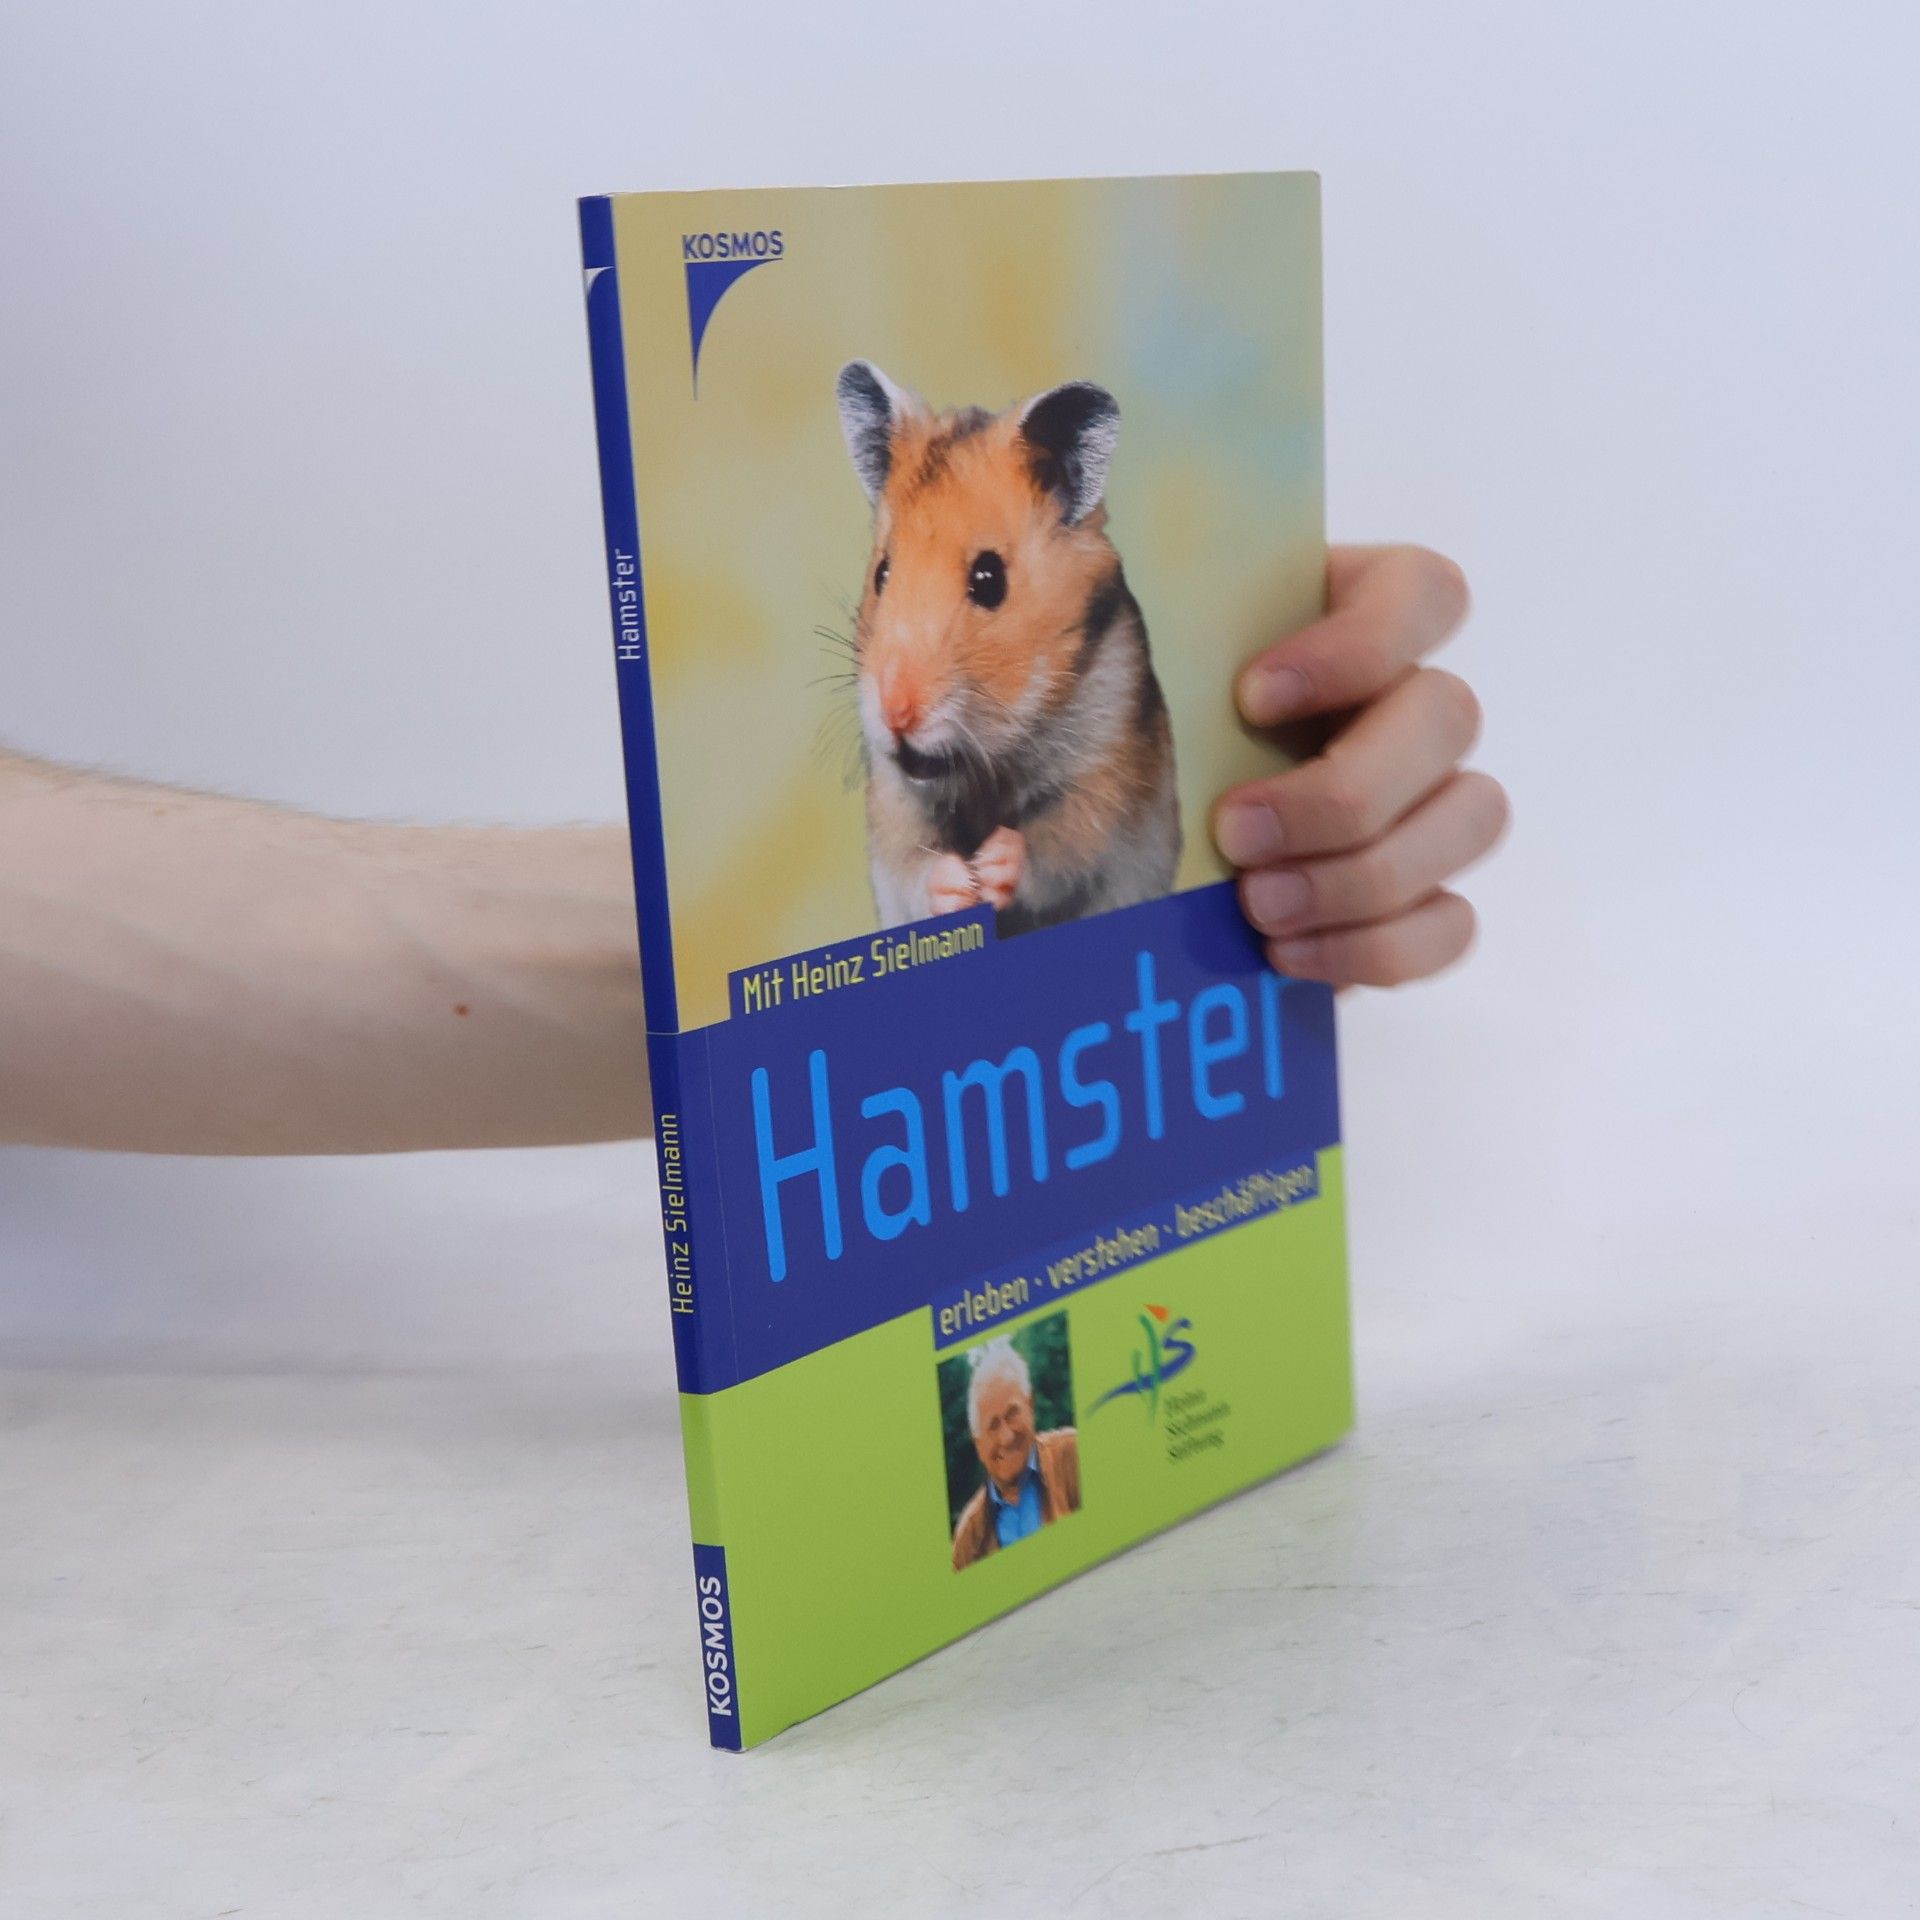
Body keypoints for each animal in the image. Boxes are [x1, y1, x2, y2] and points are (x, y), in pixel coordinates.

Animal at [834, 360, 1181, 937]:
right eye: (882, 572)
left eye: (990, 579)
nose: (896, 714)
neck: (986, 765)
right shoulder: (893, 804)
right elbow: (915, 863)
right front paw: (959, 885)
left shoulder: (1108, 775)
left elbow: (1061, 841)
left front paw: (991, 868)